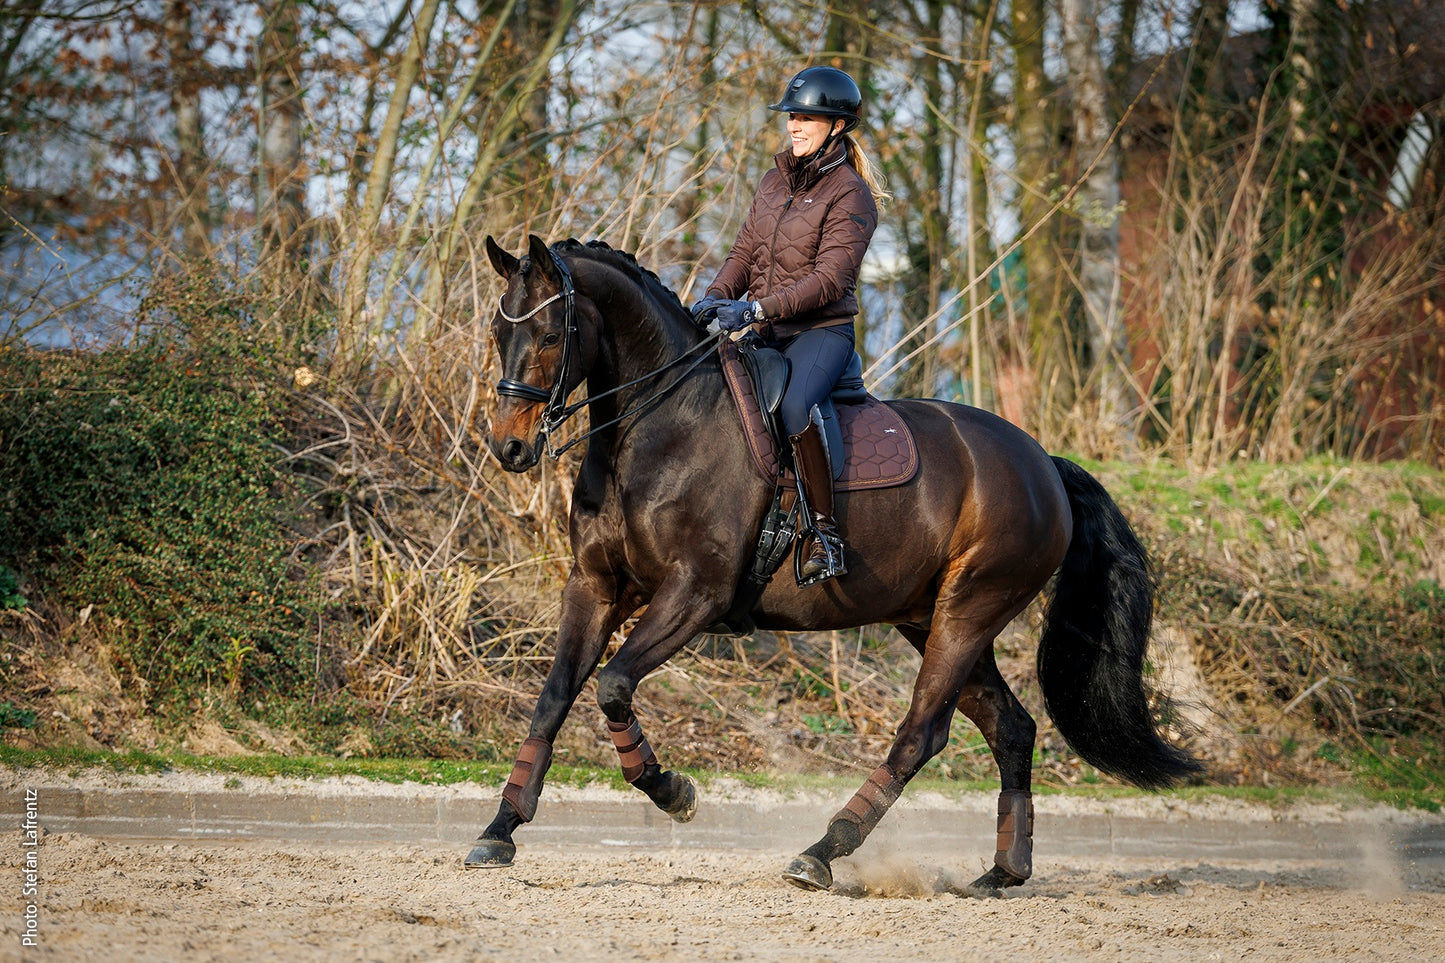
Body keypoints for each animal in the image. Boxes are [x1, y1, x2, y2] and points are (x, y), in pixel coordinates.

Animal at [467, 234, 1201, 892]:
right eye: (499, 331)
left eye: (551, 335)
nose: (508, 447)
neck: (659, 426)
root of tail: (1041, 462)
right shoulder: (593, 588)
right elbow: (553, 698)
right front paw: (500, 829)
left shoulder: (694, 593)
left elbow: (614, 685)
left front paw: (673, 791)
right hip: (928, 617)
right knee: (1011, 727)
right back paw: (1003, 870)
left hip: (970, 609)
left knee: (921, 733)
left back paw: (823, 851)